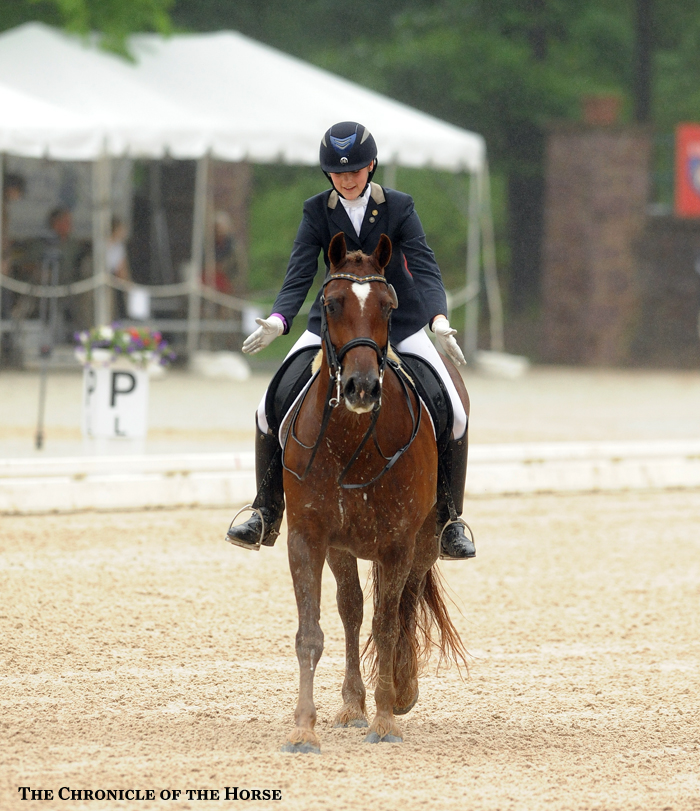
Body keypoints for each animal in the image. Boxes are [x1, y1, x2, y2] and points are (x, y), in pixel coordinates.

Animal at [276, 230, 468, 756]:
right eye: (331, 302)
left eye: (388, 305)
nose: (361, 388)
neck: (350, 440)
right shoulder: (308, 538)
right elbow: (311, 632)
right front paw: (304, 729)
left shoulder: (398, 542)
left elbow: (387, 625)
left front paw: (385, 720)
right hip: (343, 548)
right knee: (352, 609)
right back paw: (352, 705)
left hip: (423, 542)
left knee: (401, 607)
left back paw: (399, 690)